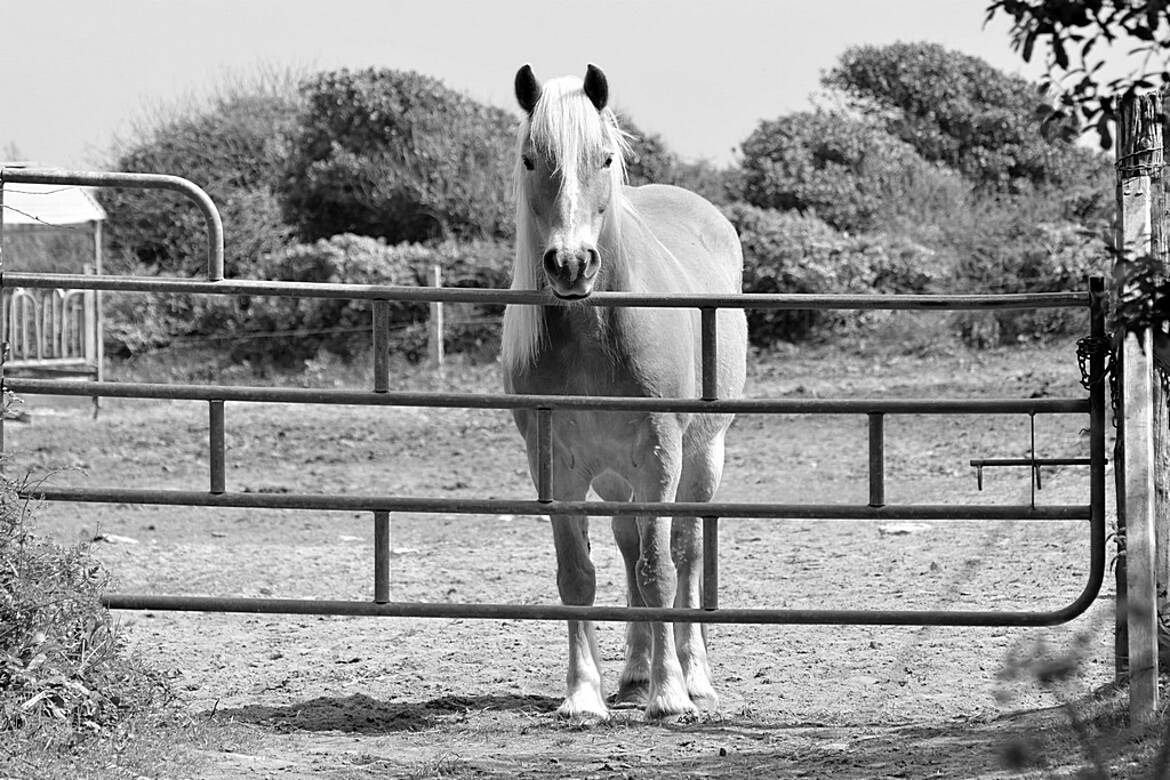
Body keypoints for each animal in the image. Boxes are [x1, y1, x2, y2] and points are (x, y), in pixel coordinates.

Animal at [501, 64, 748, 722]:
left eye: (605, 158)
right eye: (531, 159)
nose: (570, 264)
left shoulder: (660, 455)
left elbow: (660, 570)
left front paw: (671, 695)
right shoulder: (555, 467)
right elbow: (578, 576)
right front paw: (584, 696)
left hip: (701, 458)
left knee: (684, 551)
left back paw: (693, 677)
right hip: (615, 477)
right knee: (628, 543)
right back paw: (634, 676)